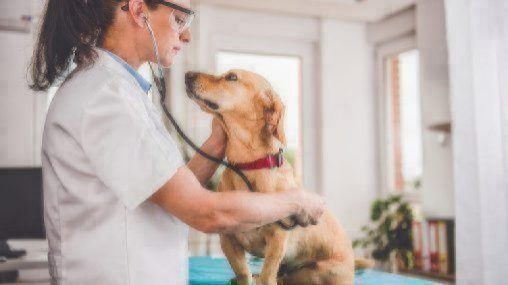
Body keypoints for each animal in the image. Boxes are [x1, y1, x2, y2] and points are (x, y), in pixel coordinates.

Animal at [185, 69, 356, 284]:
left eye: (231, 77)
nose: (187, 75)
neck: (248, 166)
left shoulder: (277, 240)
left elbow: (267, 275)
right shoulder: (228, 241)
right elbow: (244, 275)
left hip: (317, 271)